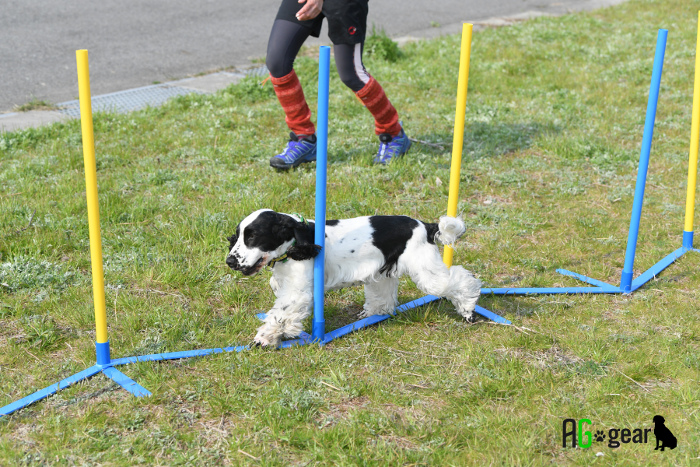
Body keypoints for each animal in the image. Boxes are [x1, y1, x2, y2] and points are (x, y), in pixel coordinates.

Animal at [227, 209, 484, 348]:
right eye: (237, 236)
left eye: (253, 237)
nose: (230, 261)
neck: (296, 241)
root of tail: (425, 226)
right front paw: (287, 332)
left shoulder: (298, 291)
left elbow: (279, 314)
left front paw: (263, 339)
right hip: (382, 272)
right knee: (384, 299)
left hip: (427, 272)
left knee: (461, 280)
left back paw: (468, 311)